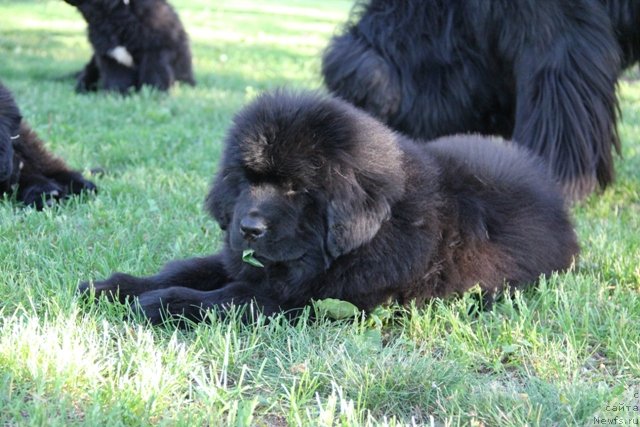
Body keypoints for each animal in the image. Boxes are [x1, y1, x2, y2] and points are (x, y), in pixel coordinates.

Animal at [65, 0, 196, 93]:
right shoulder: (111, 57)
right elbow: (116, 78)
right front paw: (116, 95)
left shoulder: (156, 51)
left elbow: (153, 74)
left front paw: (154, 93)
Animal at [80, 90, 580, 324]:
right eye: (248, 180)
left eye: (297, 190)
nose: (249, 227)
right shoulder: (248, 261)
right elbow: (188, 268)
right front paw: (112, 286)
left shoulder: (303, 301)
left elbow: (226, 298)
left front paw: (158, 302)